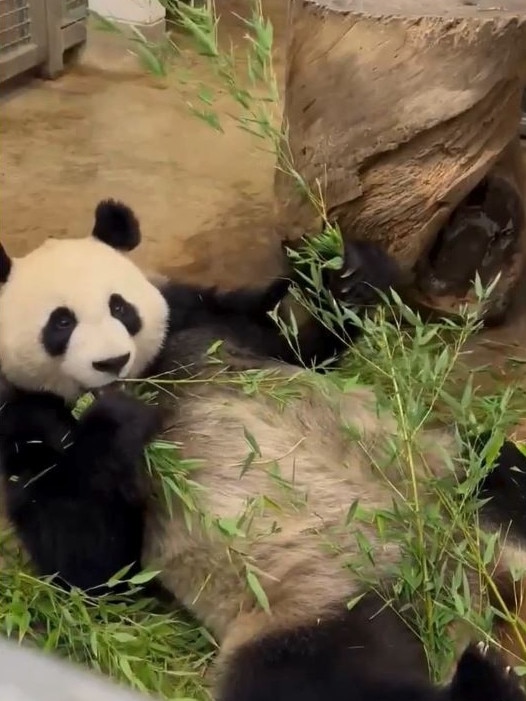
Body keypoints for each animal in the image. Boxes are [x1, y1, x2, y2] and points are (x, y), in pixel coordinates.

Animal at [0, 197, 526, 700]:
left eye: (120, 307)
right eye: (60, 323)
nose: (112, 361)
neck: (148, 374)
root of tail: (458, 577)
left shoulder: (199, 323)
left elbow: (296, 348)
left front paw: (350, 272)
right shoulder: (22, 417)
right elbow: (91, 563)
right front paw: (115, 420)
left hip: (447, 471)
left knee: (500, 471)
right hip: (324, 597)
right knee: (313, 676)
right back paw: (485, 680)